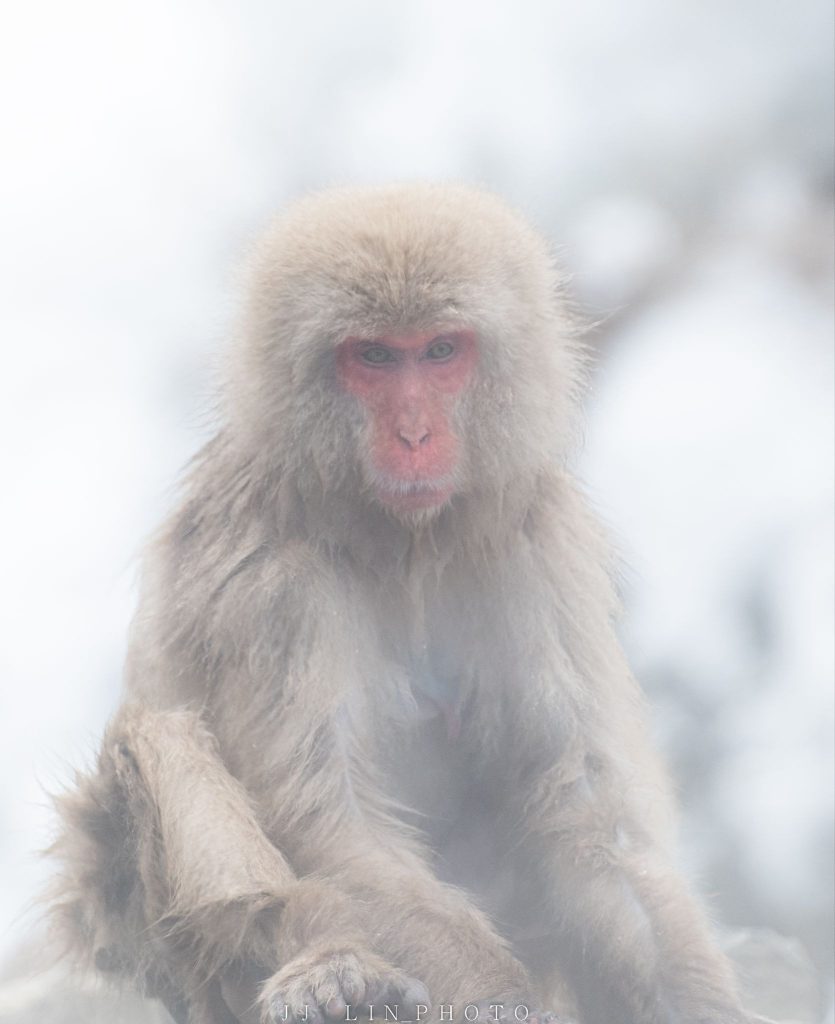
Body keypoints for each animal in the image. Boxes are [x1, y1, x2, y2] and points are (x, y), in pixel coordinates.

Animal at [48, 184, 773, 1024]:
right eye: (372, 357)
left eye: (439, 351)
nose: (415, 434)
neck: (403, 546)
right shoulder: (265, 584)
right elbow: (335, 828)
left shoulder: (539, 548)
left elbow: (586, 813)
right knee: (159, 740)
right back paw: (330, 976)